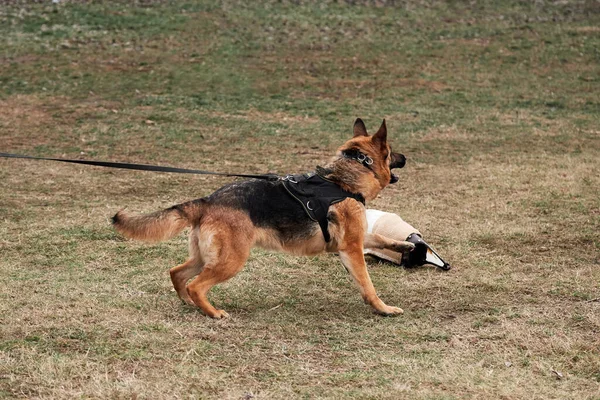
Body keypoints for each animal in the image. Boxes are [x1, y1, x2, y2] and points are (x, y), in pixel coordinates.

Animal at [111, 119, 412, 318]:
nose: (406, 157)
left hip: (206, 257)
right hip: (232, 260)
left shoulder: (356, 238)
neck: (342, 181)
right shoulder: (350, 248)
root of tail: (208, 200)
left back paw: (190, 303)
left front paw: (405, 246)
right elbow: (368, 284)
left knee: (177, 273)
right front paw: (383, 308)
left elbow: (380, 238)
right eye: (391, 151)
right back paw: (213, 312)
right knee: (196, 284)